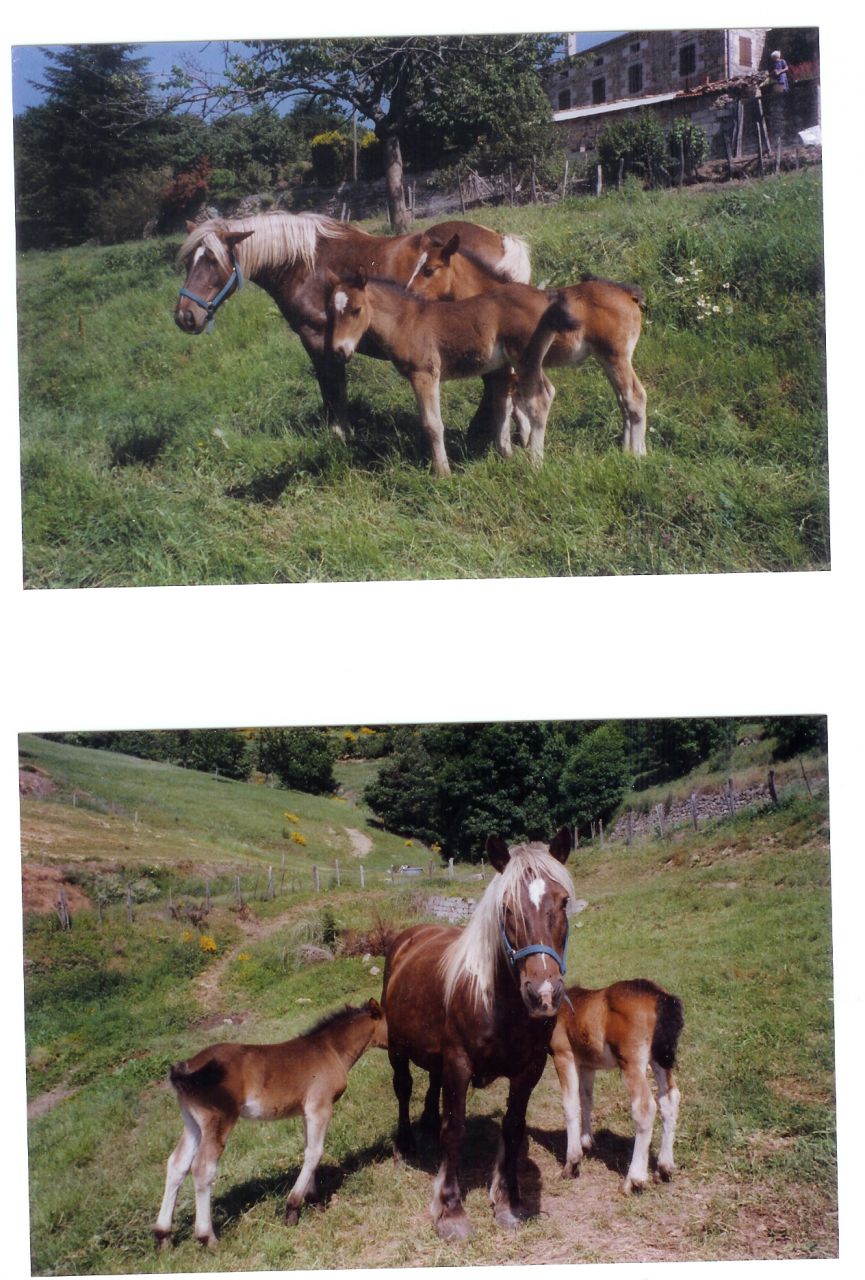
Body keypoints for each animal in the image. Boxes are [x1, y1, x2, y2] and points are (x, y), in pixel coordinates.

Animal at [153, 998, 387, 1249]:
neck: (329, 1050)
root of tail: (187, 1067)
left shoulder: (306, 1112)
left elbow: (308, 1150)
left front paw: (313, 1200)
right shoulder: (320, 1107)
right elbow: (315, 1152)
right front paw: (292, 1209)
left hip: (193, 1124)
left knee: (177, 1164)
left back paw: (163, 1236)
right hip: (218, 1120)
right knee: (202, 1168)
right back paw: (208, 1237)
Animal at [174, 212, 530, 438]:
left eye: (212, 260)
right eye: (189, 260)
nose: (184, 316)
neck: (306, 265)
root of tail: (500, 239)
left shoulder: (319, 341)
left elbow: (333, 389)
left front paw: (339, 434)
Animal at [325, 270, 585, 476]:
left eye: (357, 310)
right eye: (330, 312)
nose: (339, 351)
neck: (406, 322)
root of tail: (546, 297)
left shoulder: (425, 374)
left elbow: (432, 424)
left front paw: (443, 472)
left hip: (526, 359)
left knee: (539, 401)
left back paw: (534, 463)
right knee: (544, 393)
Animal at [381, 829, 575, 1240]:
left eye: (564, 901)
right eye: (507, 908)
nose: (543, 994)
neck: (498, 1004)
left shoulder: (529, 1070)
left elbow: (513, 1129)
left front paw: (509, 1201)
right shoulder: (459, 1063)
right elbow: (454, 1130)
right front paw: (450, 1210)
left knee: (431, 1083)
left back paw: (426, 1121)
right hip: (397, 1048)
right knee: (403, 1087)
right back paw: (405, 1143)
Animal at [549, 979, 683, 1193]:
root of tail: (660, 996)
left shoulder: (563, 1055)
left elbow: (570, 1105)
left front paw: (572, 1164)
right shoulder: (587, 1065)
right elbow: (586, 1099)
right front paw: (586, 1142)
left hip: (631, 1062)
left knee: (645, 1107)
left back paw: (634, 1180)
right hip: (659, 1060)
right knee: (669, 1098)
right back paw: (664, 1168)